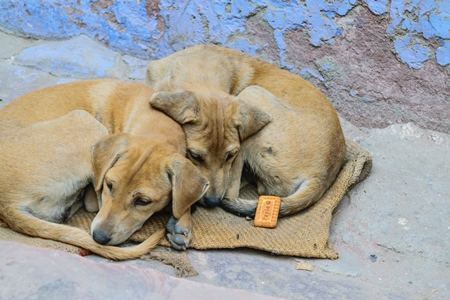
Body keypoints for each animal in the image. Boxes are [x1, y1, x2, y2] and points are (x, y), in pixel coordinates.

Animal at [146, 44, 346, 217]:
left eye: (230, 156)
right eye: (195, 156)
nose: (213, 202)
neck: (201, 65)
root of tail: (321, 176)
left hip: (252, 94)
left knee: (234, 191)